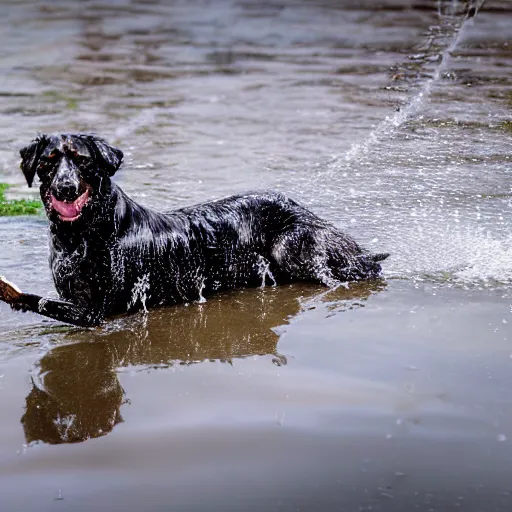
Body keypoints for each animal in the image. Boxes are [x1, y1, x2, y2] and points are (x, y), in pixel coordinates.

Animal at [0, 131, 388, 324]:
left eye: (82, 160)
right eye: (49, 161)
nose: (65, 188)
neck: (82, 233)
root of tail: (300, 206)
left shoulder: (97, 310)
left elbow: (38, 300)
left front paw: (9, 291)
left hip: (292, 246)